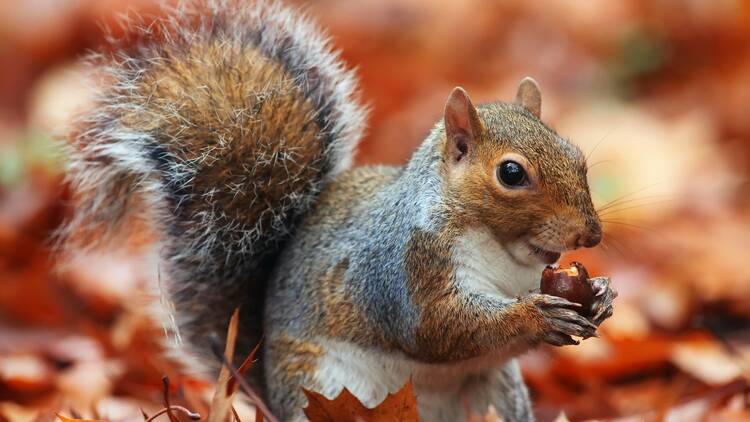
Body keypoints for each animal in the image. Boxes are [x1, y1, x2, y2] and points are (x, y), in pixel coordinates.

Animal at [63, 0, 616, 422]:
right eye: (512, 174)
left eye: (577, 157)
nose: (589, 236)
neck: (504, 253)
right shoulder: (400, 270)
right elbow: (439, 328)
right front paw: (533, 316)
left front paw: (601, 296)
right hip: (327, 389)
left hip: (496, 393)